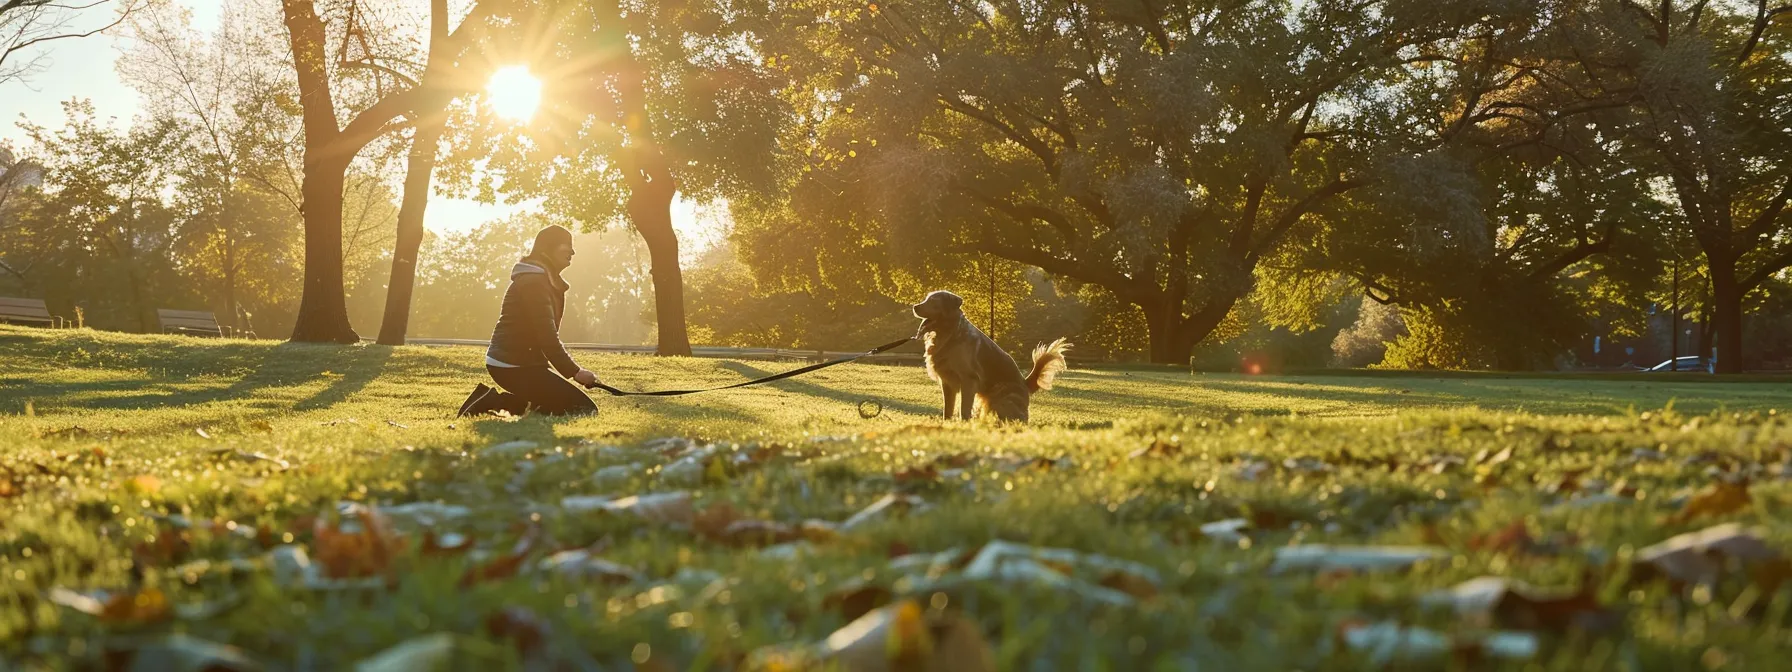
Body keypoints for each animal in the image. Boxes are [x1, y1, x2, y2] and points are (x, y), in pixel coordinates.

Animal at [910, 292, 1060, 422]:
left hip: (1002, 397)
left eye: (933, 301)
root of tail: (1025, 382)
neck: (950, 333)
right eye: (926, 299)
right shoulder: (947, 382)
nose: (915, 307)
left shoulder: (969, 380)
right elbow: (948, 409)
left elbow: (964, 409)